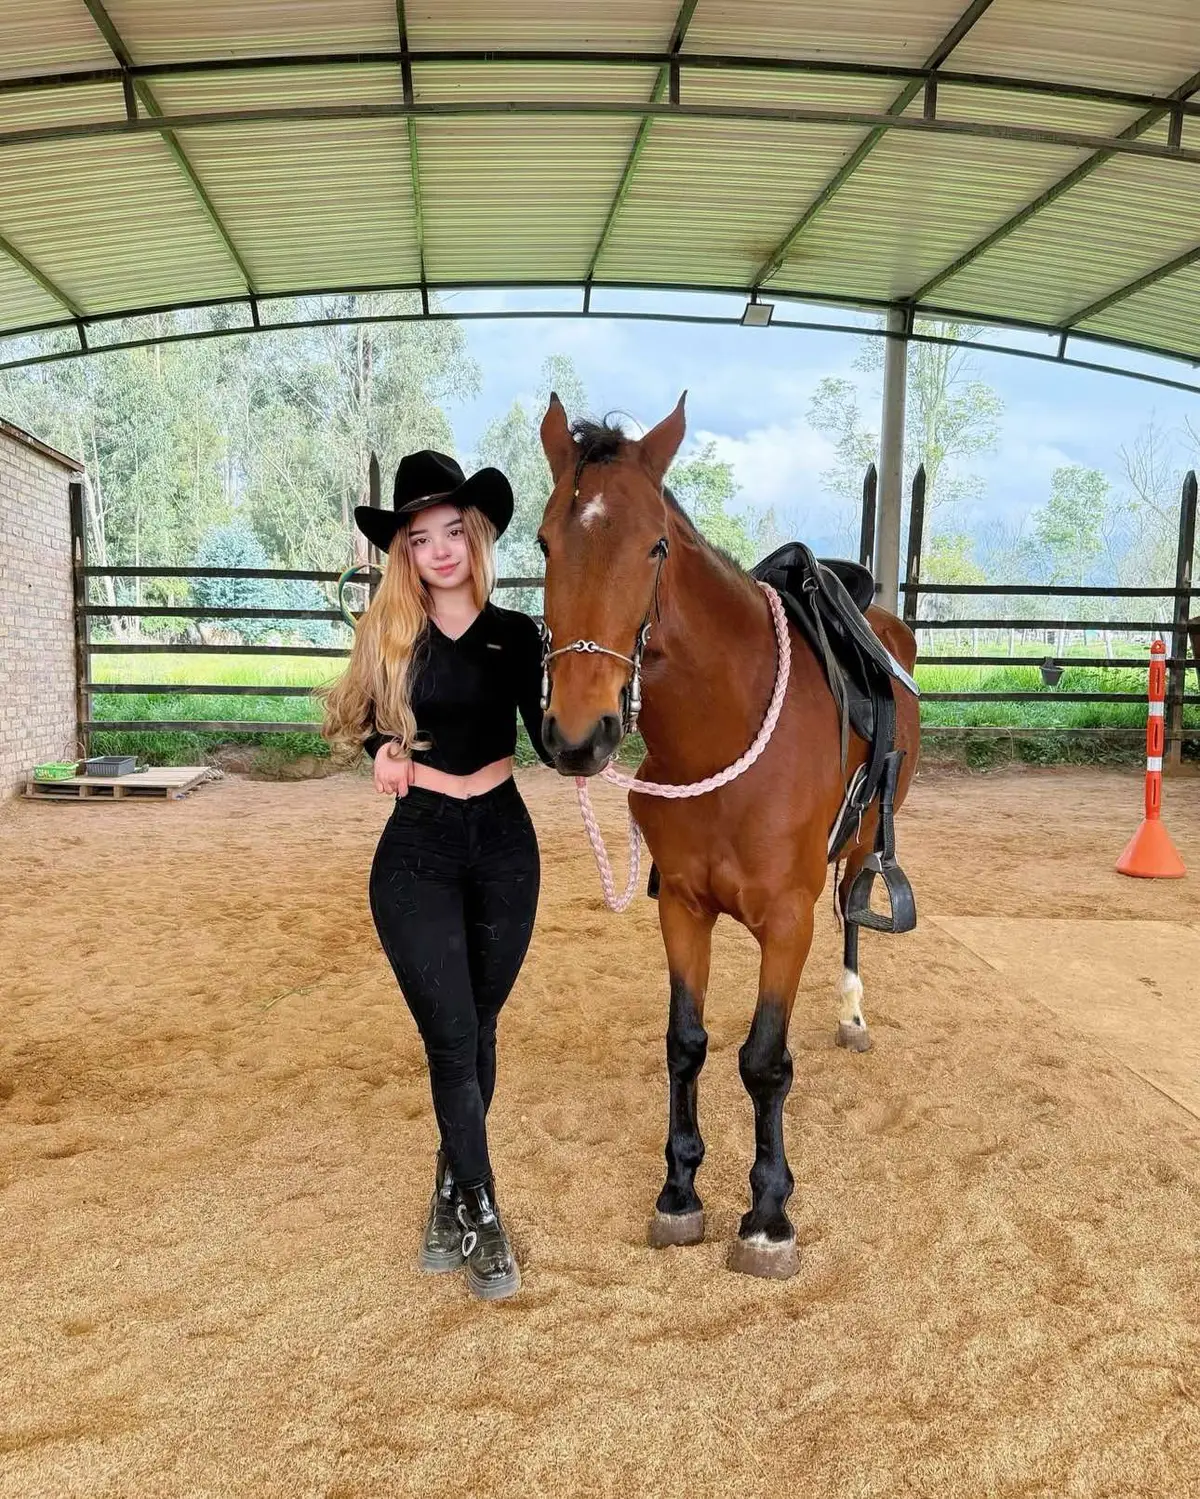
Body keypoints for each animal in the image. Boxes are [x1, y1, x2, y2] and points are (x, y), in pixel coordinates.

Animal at [536, 394, 920, 1280]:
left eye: (654, 544)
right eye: (541, 540)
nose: (577, 734)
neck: (724, 735)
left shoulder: (787, 920)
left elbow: (763, 1059)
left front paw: (769, 1212)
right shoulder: (681, 904)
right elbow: (687, 1042)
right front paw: (679, 1190)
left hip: (861, 845)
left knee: (856, 909)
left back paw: (852, 1010)